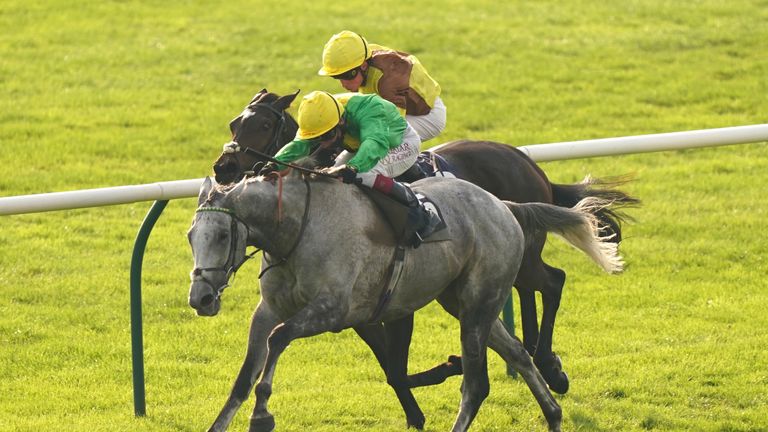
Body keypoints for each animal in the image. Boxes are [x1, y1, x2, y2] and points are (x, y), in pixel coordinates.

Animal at [210, 88, 636, 426]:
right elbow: (390, 367)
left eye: (264, 125)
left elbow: (398, 366)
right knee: (532, 293)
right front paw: (422, 402)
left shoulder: (396, 300)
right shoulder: (356, 310)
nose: (223, 167)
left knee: (553, 281)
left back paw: (549, 364)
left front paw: (444, 375)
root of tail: (528, 162)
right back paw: (537, 359)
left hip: (523, 257)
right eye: (233, 123)